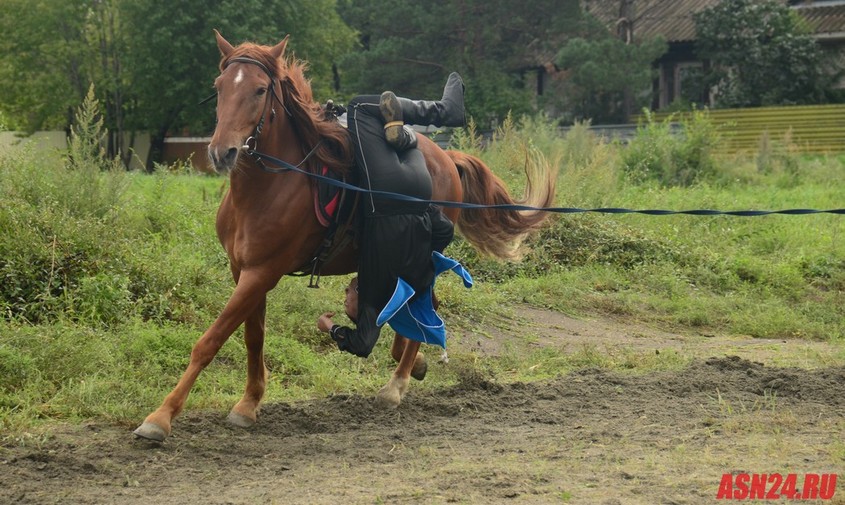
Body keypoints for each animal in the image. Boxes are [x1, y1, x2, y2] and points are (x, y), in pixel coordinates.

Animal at [134, 32, 552, 440]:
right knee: (420, 305)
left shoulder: (262, 272)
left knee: (423, 306)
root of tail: (447, 157)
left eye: (259, 90)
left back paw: (397, 384)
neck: (264, 190)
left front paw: (161, 416)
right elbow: (254, 337)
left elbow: (211, 340)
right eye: (219, 87)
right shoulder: (244, 271)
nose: (222, 152)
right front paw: (249, 403)